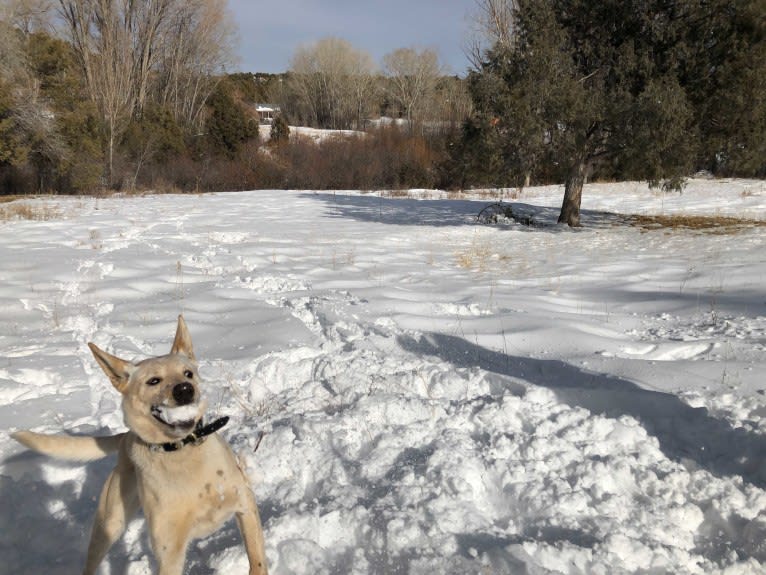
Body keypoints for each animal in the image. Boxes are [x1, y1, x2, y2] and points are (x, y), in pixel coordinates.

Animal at [9, 318, 270, 575]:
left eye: (188, 373)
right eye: (153, 381)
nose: (185, 389)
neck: (182, 451)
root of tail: (126, 436)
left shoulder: (245, 505)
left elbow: (257, 560)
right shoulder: (169, 553)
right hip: (109, 522)